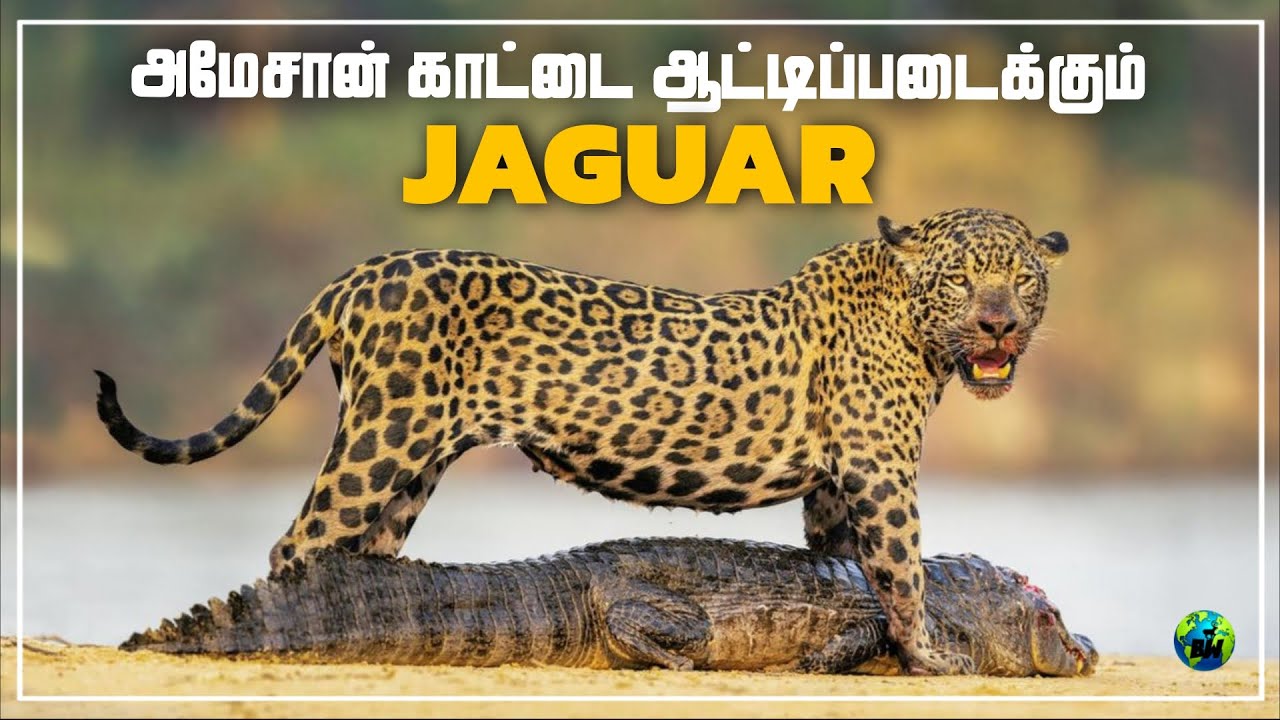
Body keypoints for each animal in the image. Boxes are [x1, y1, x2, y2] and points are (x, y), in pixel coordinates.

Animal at [95, 207, 1069, 675]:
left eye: (1022, 277)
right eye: (963, 279)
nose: (998, 323)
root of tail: (356, 277)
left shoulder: (836, 480)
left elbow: (843, 564)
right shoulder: (879, 469)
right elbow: (901, 570)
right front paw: (934, 657)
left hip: (414, 463)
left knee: (359, 555)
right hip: (386, 436)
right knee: (297, 543)